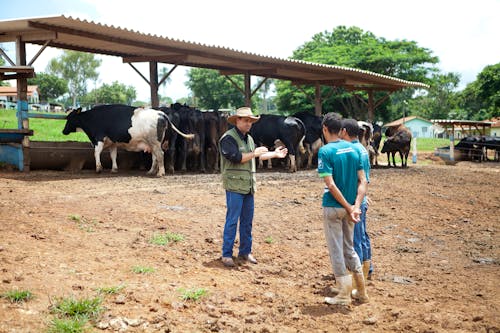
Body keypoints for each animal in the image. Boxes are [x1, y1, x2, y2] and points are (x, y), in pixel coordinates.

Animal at [62, 104, 193, 176]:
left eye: (69, 118)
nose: (63, 131)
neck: (92, 118)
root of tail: (160, 113)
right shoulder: (113, 142)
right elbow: (113, 155)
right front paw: (114, 169)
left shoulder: (98, 139)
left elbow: (96, 153)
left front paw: (98, 168)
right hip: (153, 143)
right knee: (155, 157)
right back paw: (151, 171)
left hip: (155, 142)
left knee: (160, 155)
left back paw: (160, 173)